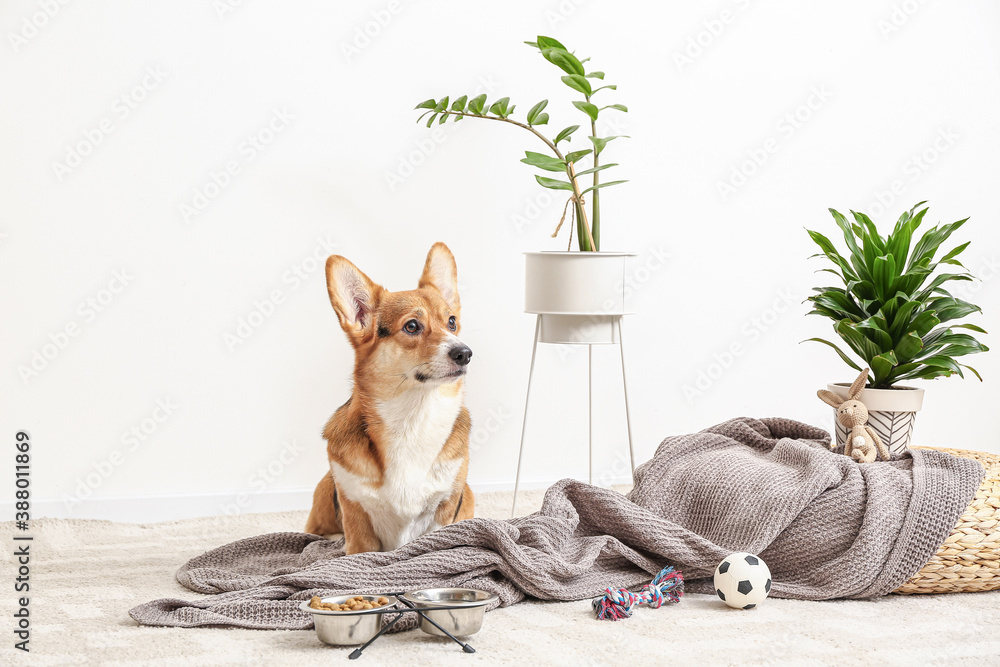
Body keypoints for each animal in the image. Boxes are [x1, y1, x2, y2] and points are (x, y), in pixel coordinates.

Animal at [304, 243, 476, 556]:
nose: (465, 353)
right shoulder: (357, 518)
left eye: (452, 322)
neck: (412, 418)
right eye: (412, 326)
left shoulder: (446, 506)